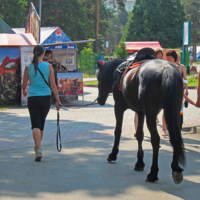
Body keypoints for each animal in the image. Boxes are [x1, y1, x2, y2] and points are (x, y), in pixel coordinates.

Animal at [96, 48, 185, 183]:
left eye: (98, 77)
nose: (99, 100)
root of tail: (167, 69)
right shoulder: (140, 112)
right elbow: (139, 135)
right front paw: (139, 163)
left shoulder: (119, 107)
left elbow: (118, 131)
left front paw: (113, 154)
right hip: (172, 111)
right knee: (174, 135)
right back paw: (175, 168)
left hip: (151, 113)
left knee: (155, 139)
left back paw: (153, 173)